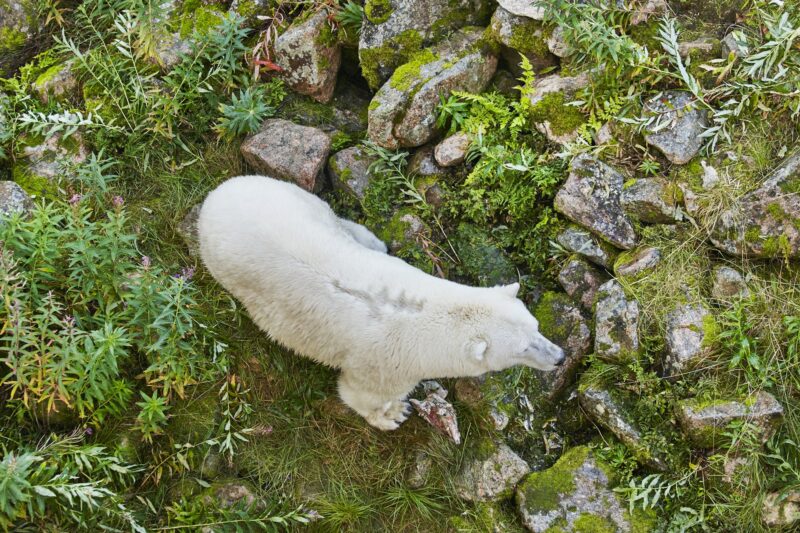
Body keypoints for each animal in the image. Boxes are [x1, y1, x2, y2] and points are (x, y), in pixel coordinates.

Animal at [197, 177, 564, 430]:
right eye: (522, 348)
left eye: (537, 326)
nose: (560, 357)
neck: (428, 313)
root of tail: (214, 197)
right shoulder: (386, 364)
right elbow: (359, 394)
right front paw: (394, 414)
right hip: (228, 267)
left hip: (291, 198)